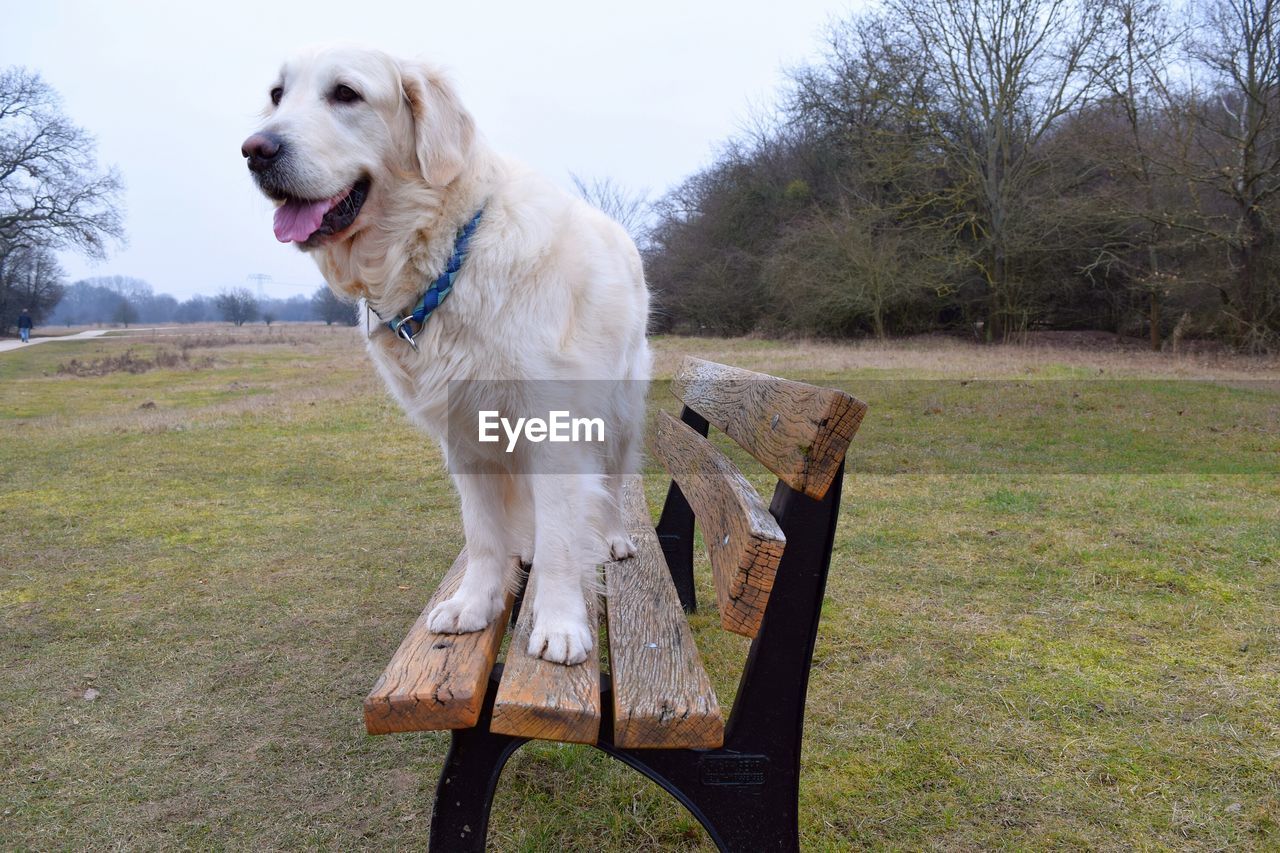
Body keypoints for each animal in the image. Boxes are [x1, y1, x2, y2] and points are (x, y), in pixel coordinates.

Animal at [240, 46, 650, 666]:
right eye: (276, 96)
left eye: (345, 93)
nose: (255, 150)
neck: (445, 258)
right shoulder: (464, 433)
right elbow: (482, 533)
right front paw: (475, 604)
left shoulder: (552, 426)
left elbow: (561, 536)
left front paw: (559, 623)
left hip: (621, 414)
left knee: (614, 486)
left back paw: (616, 538)